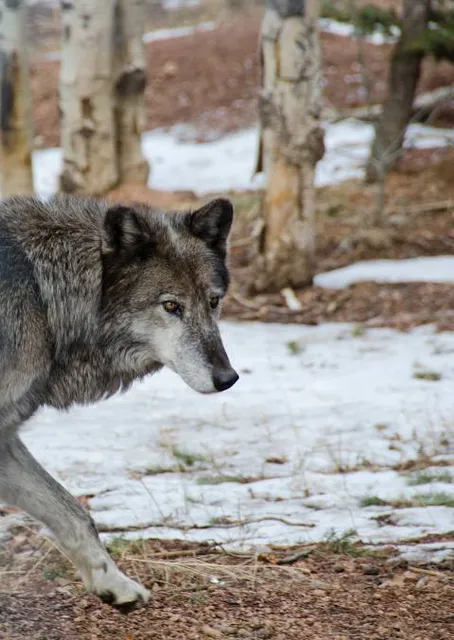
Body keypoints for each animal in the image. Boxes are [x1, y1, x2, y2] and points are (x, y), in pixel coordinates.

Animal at [0, 195, 238, 609]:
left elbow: (74, 512)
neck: (42, 297)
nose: (227, 378)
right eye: (171, 306)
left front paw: (113, 582)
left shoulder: (4, 438)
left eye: (213, 302)